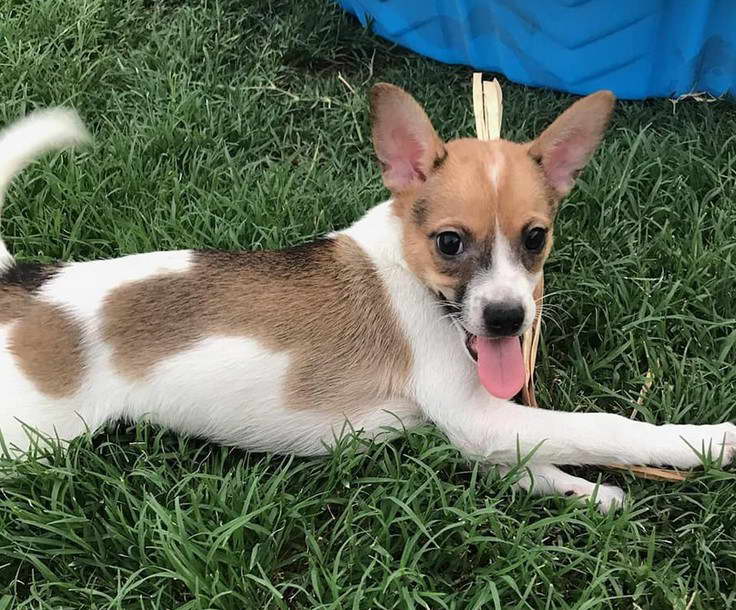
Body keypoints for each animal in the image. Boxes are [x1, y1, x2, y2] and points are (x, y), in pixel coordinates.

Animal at [0, 85, 732, 510]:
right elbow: (611, 426)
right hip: (29, 442)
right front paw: (710, 442)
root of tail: (20, 284)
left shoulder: (470, 427)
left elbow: (530, 457)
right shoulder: (478, 416)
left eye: (535, 237)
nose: (506, 318)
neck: (408, 270)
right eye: (449, 243)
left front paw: (584, 492)